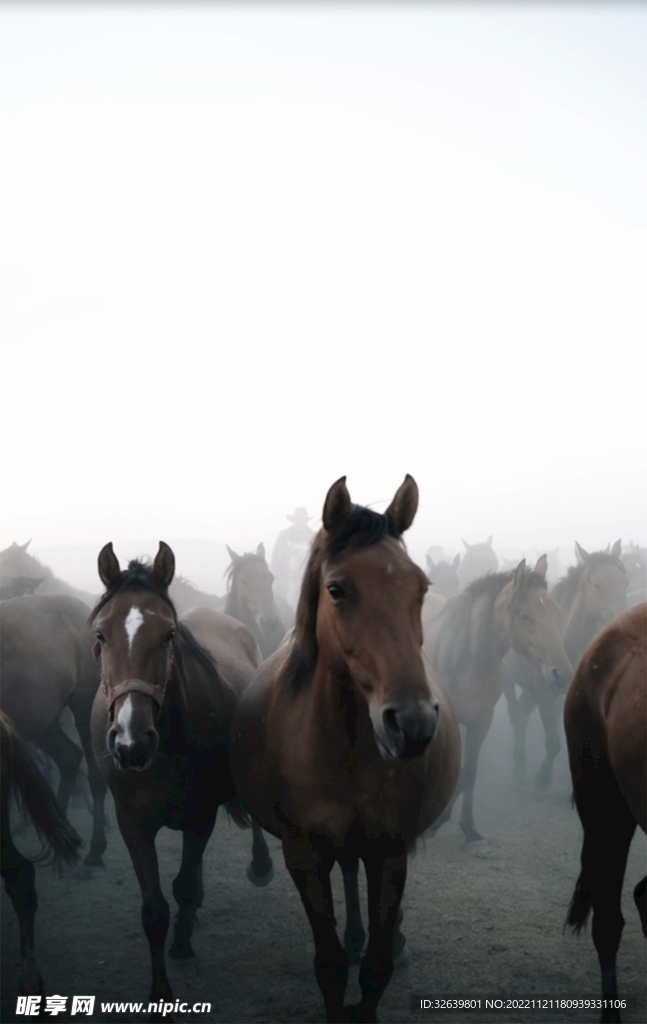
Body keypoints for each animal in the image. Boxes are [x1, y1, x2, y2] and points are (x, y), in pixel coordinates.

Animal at [0, 595, 108, 867]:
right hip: (40, 722)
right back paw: (59, 836)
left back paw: (94, 850)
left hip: (83, 710)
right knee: (69, 759)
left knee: (94, 775)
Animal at [89, 542, 260, 1011]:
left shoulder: (201, 815)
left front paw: (182, 943)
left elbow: (181, 886)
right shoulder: (132, 822)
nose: (131, 741)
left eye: (167, 634)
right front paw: (159, 993)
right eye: (100, 635)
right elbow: (154, 911)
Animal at [231, 475, 461, 1024]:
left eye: (421, 588)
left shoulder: (390, 850)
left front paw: (380, 954)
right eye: (336, 589)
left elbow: (377, 965)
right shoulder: (304, 854)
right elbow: (331, 964)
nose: (413, 722)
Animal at [425, 555, 572, 854]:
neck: (465, 657)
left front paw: (469, 831)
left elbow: (468, 773)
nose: (561, 674)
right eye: (525, 615)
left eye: (555, 611)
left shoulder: (481, 722)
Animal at [503, 542, 628, 789]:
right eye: (597, 585)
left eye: (625, 582)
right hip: (508, 683)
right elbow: (553, 741)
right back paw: (519, 762)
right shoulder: (544, 693)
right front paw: (543, 776)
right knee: (516, 715)